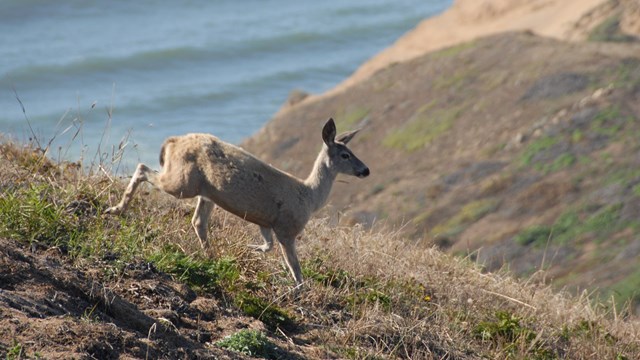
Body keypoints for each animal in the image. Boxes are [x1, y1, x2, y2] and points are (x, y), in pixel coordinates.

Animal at [106, 118, 370, 286]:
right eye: (345, 155)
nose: (365, 170)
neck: (309, 196)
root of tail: (172, 141)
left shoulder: (266, 223)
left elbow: (268, 246)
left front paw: (248, 250)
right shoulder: (287, 228)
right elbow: (295, 268)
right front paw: (299, 293)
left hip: (205, 192)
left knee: (198, 221)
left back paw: (212, 257)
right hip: (183, 182)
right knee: (142, 168)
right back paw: (116, 209)